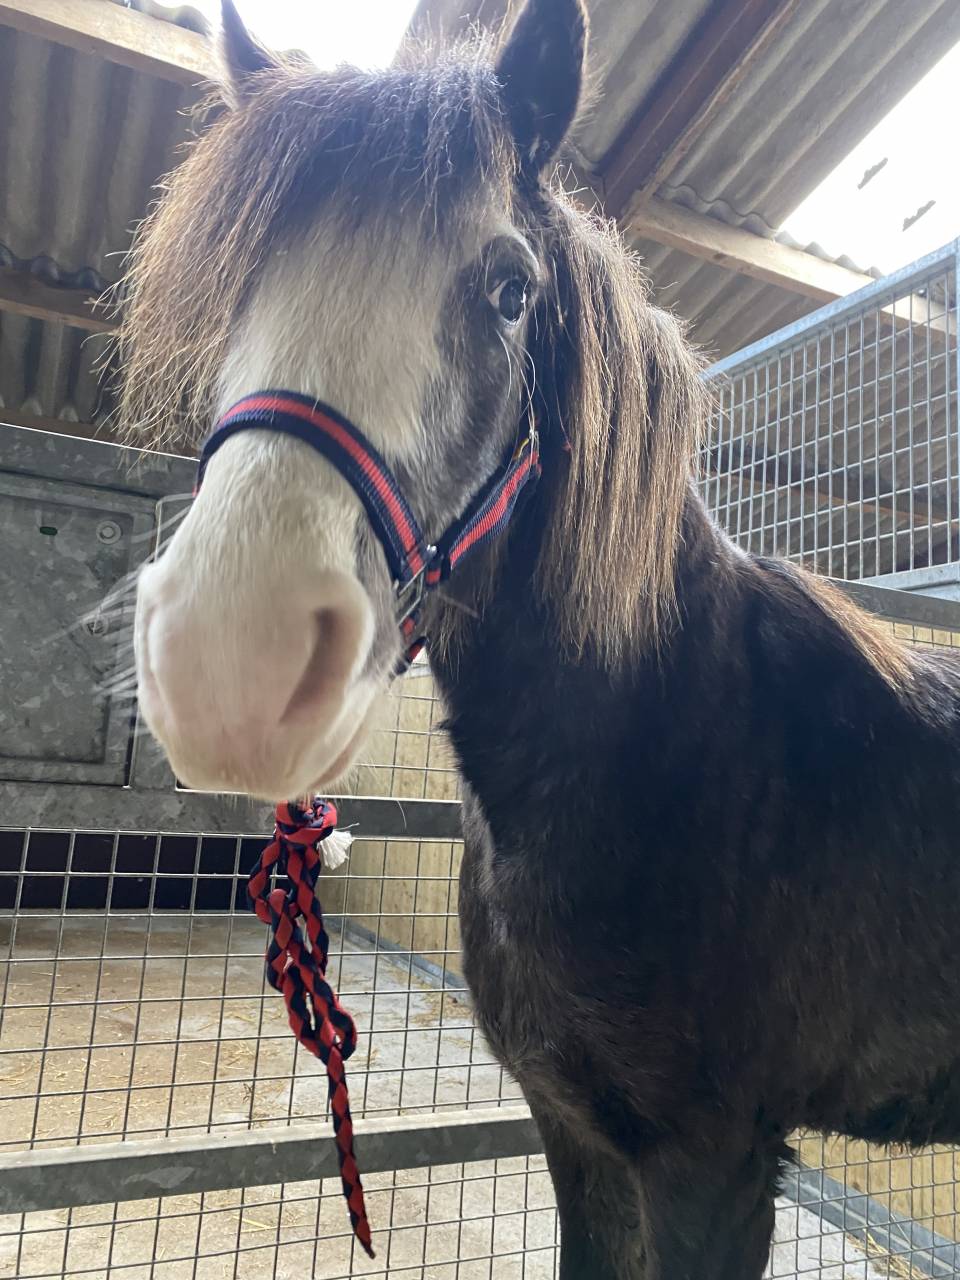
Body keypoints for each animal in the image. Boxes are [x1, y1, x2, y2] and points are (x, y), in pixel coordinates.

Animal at [118, 1, 960, 1274]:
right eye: (241, 283)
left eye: (511, 289)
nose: (232, 656)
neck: (672, 748)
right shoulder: (577, 1136)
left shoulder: (714, 1164)